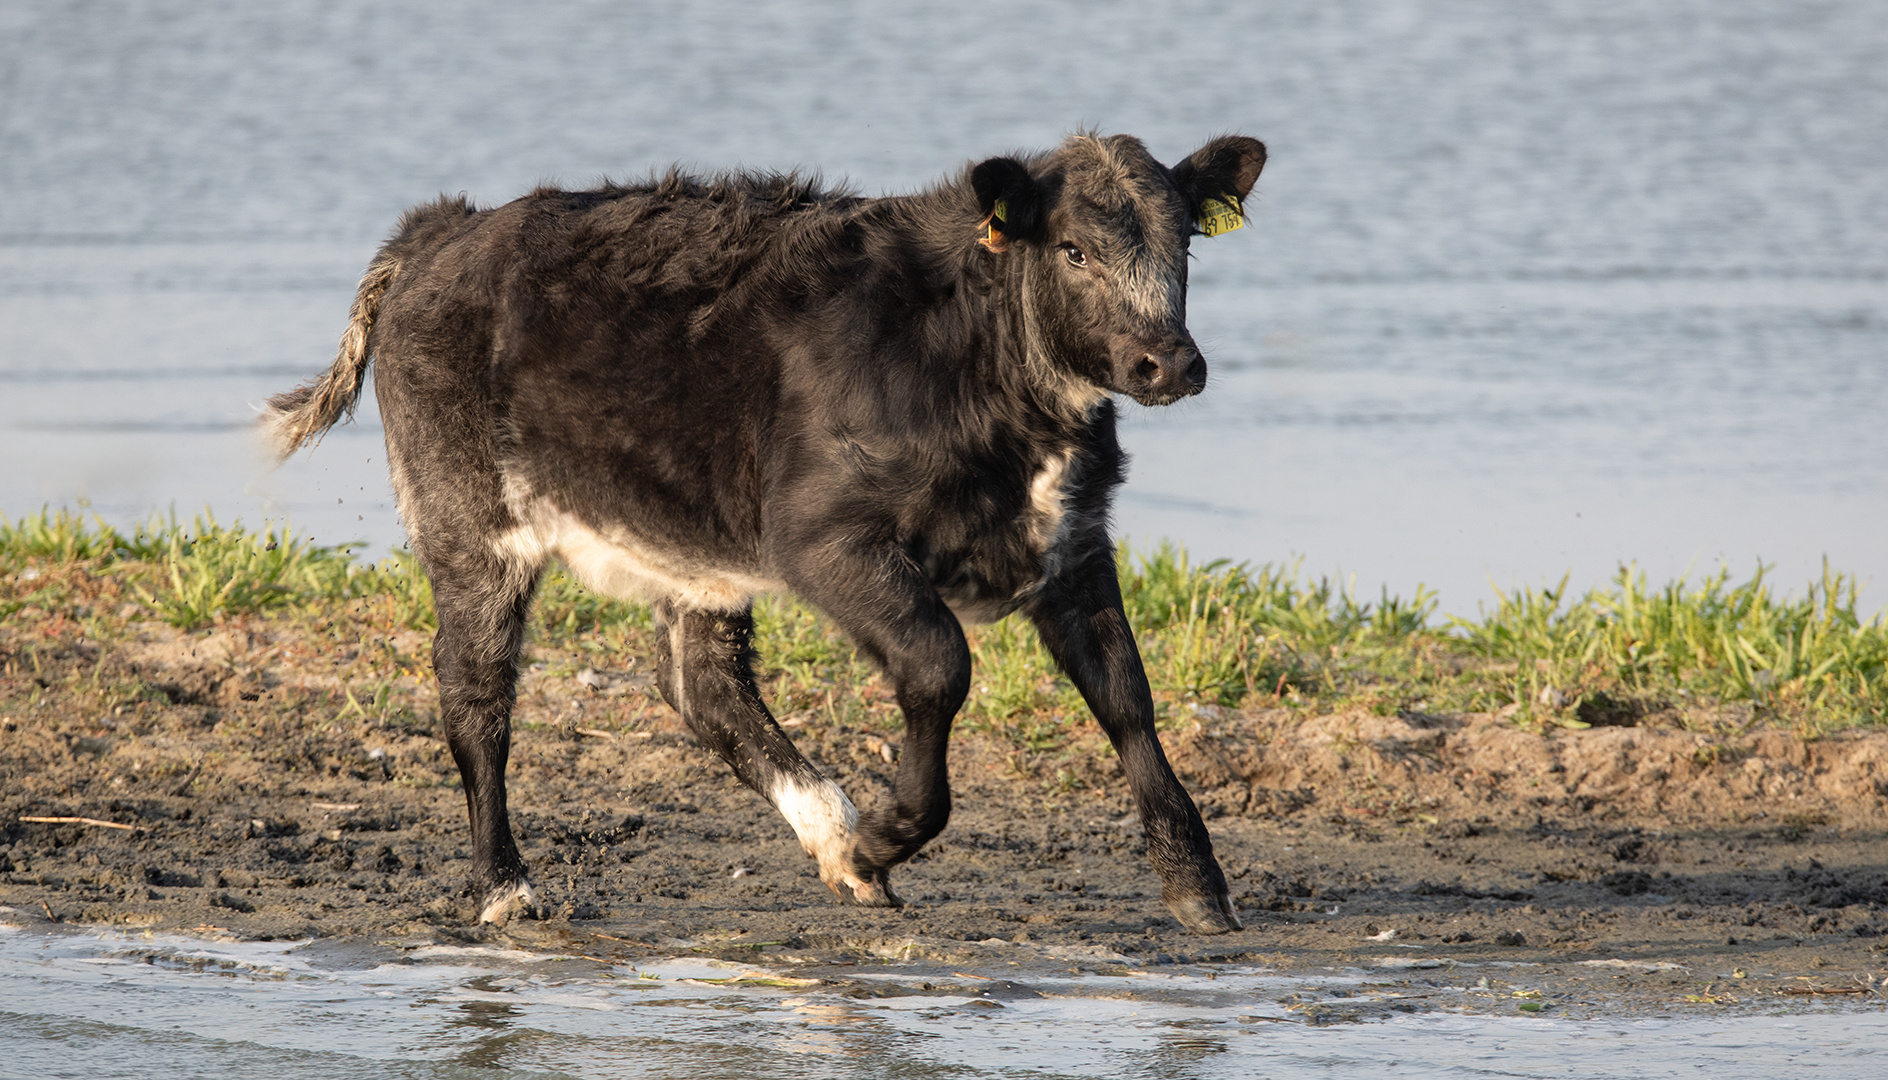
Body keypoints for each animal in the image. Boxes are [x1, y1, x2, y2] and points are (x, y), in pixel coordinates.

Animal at [266, 133, 1268, 928]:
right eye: (1072, 249)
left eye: (1184, 243)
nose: (1169, 362)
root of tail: (448, 227)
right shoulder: (824, 537)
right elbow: (940, 664)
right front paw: (890, 833)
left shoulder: (1074, 541)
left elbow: (1125, 694)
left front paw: (1197, 882)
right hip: (471, 519)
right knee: (476, 691)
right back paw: (507, 886)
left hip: (693, 543)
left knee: (702, 684)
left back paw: (830, 839)